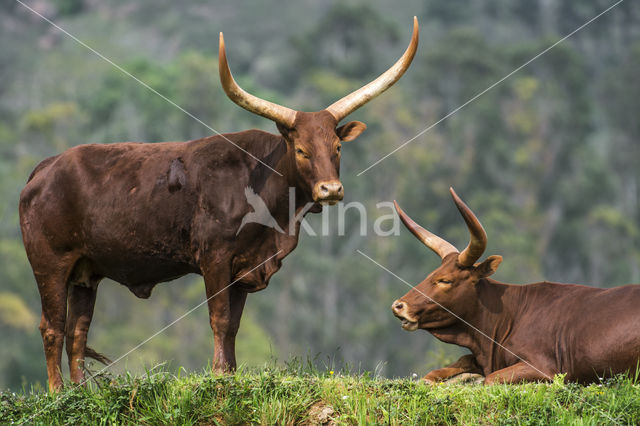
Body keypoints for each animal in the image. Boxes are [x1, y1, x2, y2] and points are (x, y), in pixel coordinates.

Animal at [20, 18, 418, 392]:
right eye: (302, 150)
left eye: (336, 148)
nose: (331, 189)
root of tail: (45, 168)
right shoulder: (214, 258)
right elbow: (220, 319)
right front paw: (217, 377)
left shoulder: (245, 266)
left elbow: (234, 326)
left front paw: (230, 374)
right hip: (50, 263)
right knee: (52, 327)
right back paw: (58, 394)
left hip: (86, 272)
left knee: (78, 330)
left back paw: (80, 392)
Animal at [390, 188, 640, 384]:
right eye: (431, 274)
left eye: (445, 280)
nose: (398, 306)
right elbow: (438, 372)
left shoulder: (544, 369)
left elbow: (489, 379)